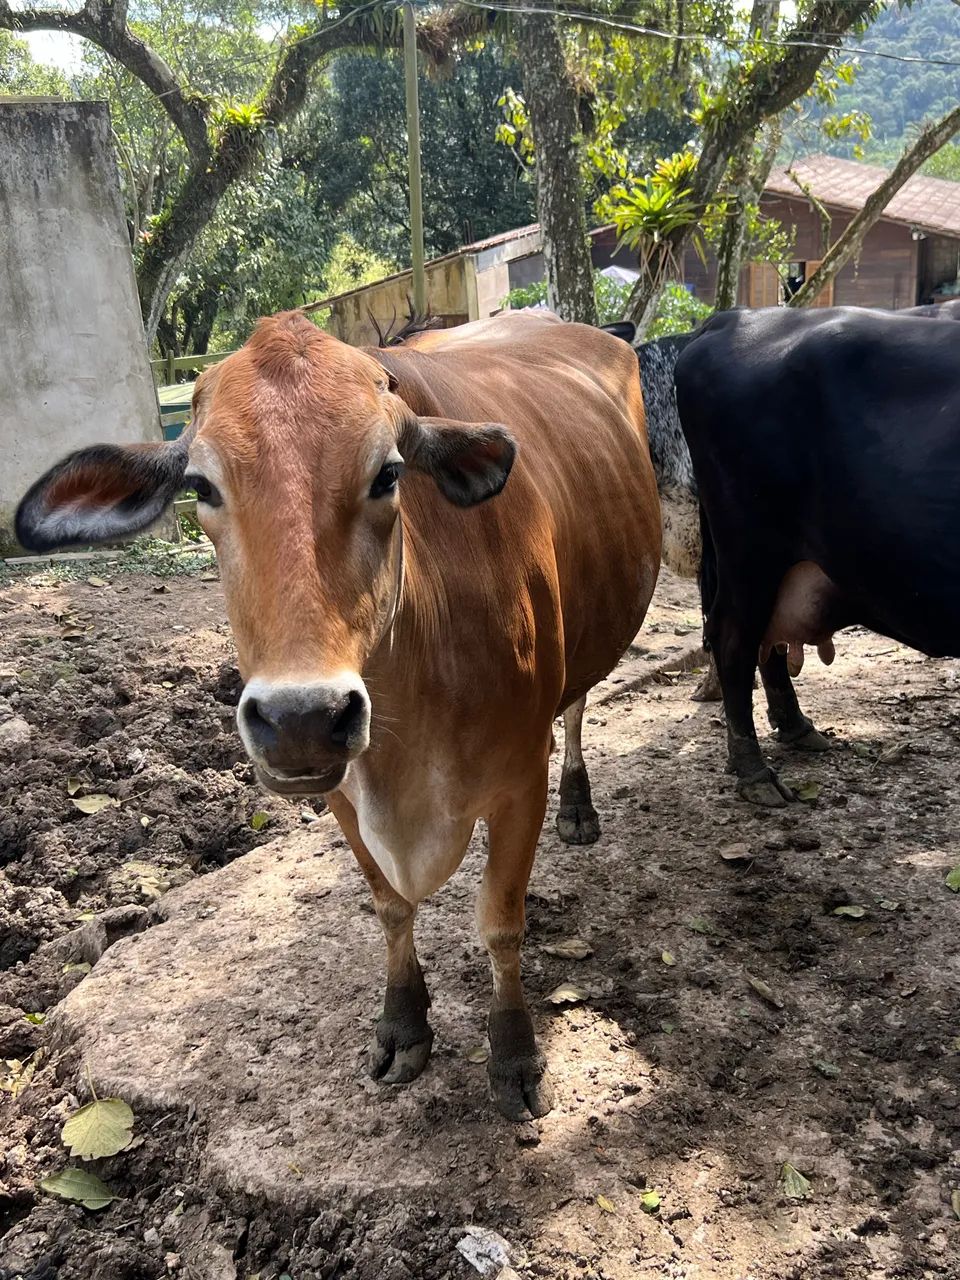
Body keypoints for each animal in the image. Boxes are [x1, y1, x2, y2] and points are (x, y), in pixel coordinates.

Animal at [15, 309, 662, 1120]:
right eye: (201, 484)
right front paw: (403, 1022)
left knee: (575, 711)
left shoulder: (520, 780)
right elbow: (389, 909)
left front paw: (513, 1052)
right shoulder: (341, 793)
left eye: (388, 472)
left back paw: (581, 805)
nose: (300, 716)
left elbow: (500, 923)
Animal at [673, 304, 960, 806]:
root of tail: (735, 317)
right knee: (733, 639)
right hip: (751, 551)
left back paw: (796, 727)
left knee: (767, 641)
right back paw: (754, 771)